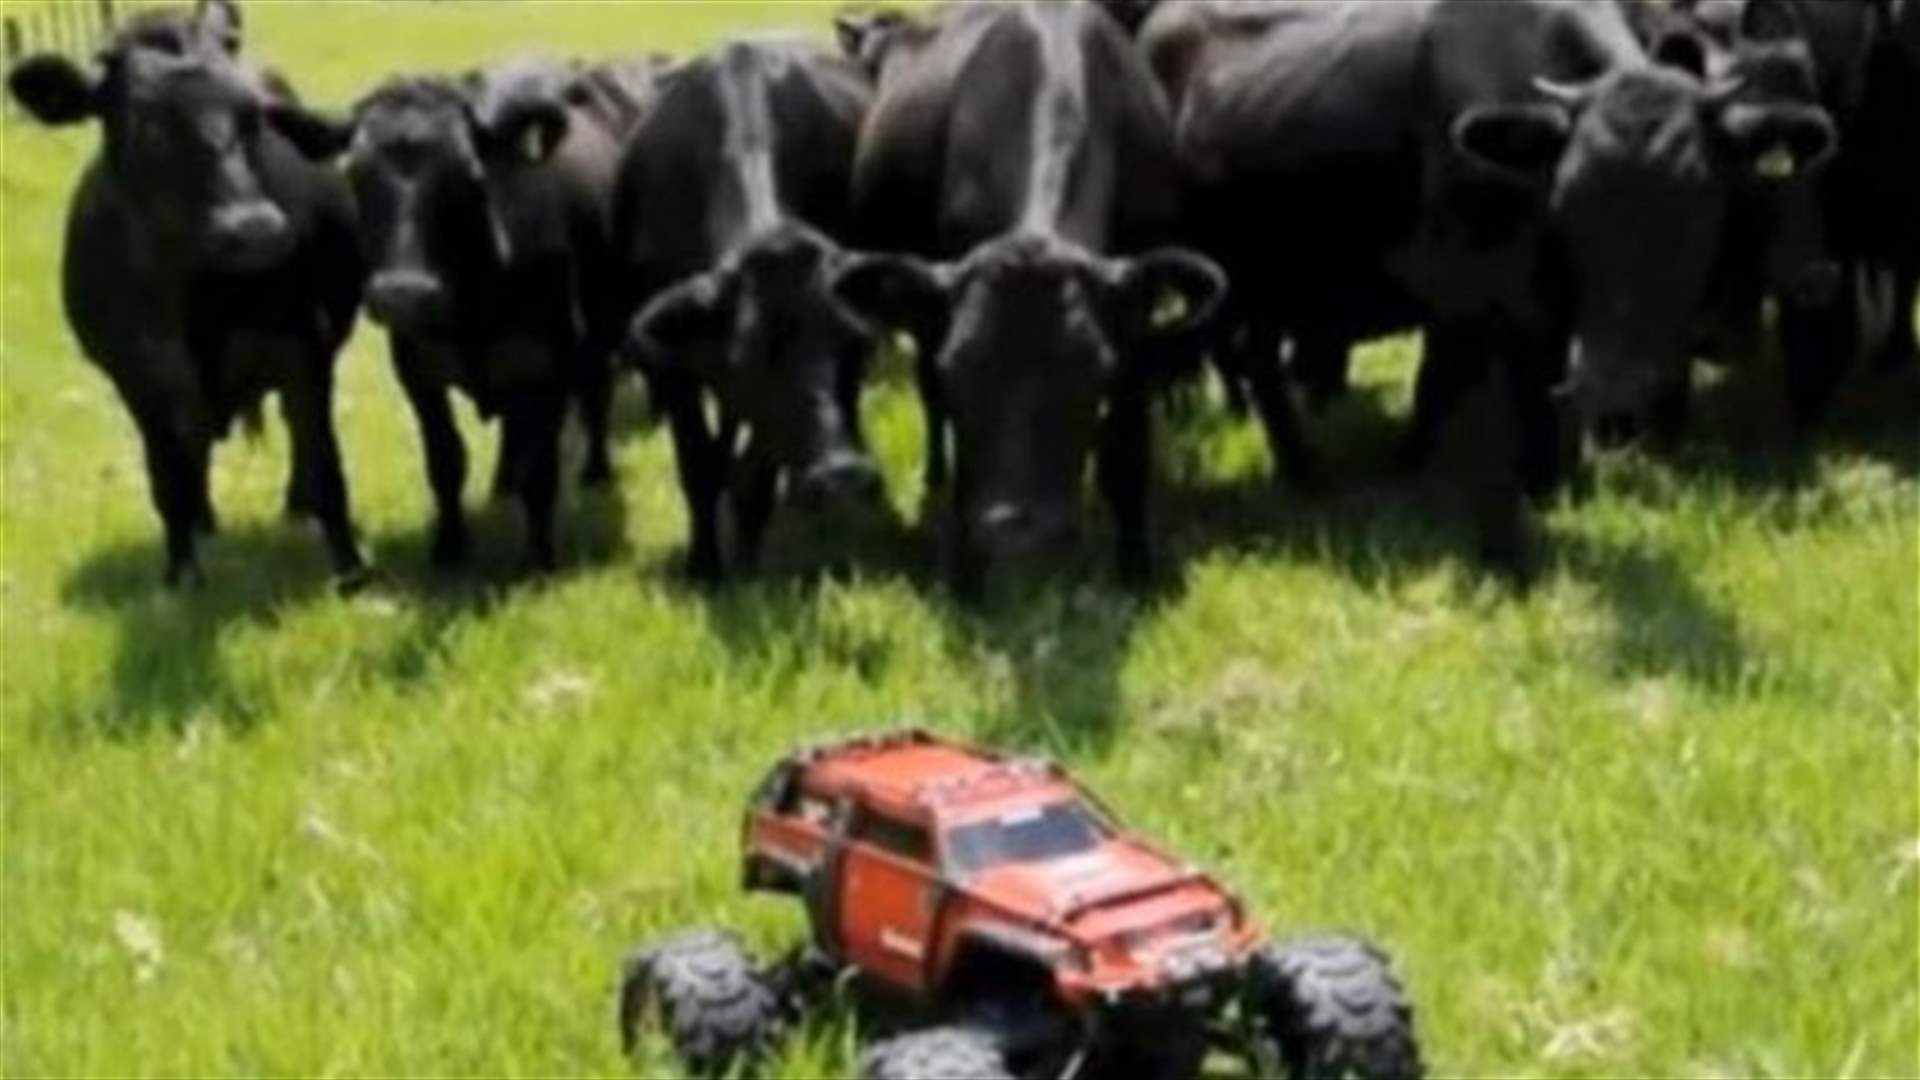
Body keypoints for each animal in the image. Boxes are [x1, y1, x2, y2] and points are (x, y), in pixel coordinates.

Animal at [6, 0, 368, 589]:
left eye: (255, 117)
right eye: (147, 128)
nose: (256, 229)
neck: (200, 304)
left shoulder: (304, 350)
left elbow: (325, 462)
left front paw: (350, 571)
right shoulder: (138, 377)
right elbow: (167, 479)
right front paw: (181, 574)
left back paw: (295, 507)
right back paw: (202, 520)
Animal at [334, 56, 669, 573]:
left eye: (471, 177)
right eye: (354, 175)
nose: (401, 294)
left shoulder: (550, 366)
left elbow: (542, 471)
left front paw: (538, 558)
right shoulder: (416, 369)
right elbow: (445, 460)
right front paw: (449, 548)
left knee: (595, 395)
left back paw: (595, 470)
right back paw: (502, 482)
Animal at [612, 38, 886, 584]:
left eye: (860, 343)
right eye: (755, 353)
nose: (843, 475)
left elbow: (757, 469)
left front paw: (750, 559)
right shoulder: (674, 368)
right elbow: (697, 463)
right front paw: (704, 565)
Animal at [827, 1, 1231, 596]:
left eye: (1094, 372)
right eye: (960, 368)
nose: (1020, 531)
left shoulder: (1135, 320)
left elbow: (1126, 455)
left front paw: (1136, 571)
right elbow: (961, 449)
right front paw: (966, 576)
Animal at [1141, 0, 1837, 569]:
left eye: (1698, 204)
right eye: (1567, 200)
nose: (1617, 391)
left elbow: (1535, 384)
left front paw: (1553, 484)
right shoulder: (1463, 284)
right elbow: (1447, 385)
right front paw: (1414, 471)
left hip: (1266, 275)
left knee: (1256, 356)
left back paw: (1303, 469)